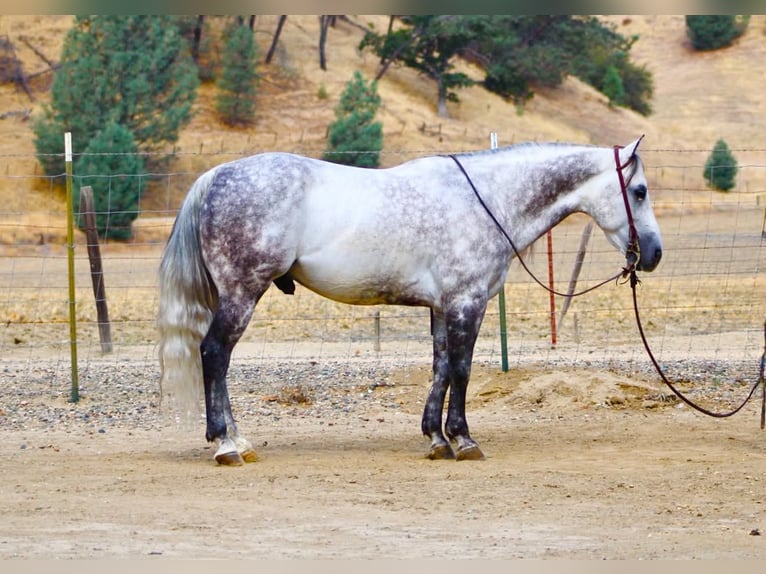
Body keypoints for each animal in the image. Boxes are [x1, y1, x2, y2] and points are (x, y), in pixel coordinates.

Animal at [157, 137, 662, 465]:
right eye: (639, 192)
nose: (655, 253)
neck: (487, 199)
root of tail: (216, 176)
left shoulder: (442, 308)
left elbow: (441, 368)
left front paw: (436, 439)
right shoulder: (467, 303)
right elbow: (462, 369)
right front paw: (463, 440)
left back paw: (237, 441)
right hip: (242, 293)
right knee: (214, 354)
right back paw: (227, 445)